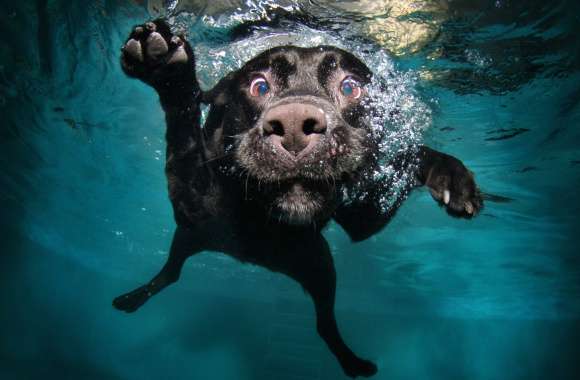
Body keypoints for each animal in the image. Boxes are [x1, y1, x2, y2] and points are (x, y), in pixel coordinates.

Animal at [112, 18, 480, 378]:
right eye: (259, 86)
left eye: (350, 87)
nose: (292, 126)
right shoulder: (193, 203)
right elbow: (184, 137)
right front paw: (167, 69)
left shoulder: (363, 218)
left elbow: (409, 157)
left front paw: (451, 175)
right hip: (192, 238)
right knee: (171, 273)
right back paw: (132, 298)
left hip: (319, 266)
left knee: (323, 324)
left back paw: (352, 362)